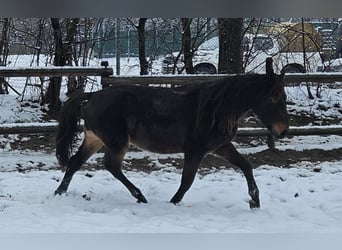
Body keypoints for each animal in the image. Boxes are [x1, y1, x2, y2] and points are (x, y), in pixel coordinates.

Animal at [54, 58, 288, 209]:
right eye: (276, 97)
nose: (283, 131)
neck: (215, 110)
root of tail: (93, 96)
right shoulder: (195, 150)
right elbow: (187, 181)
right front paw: (174, 202)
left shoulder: (221, 146)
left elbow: (246, 165)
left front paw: (255, 201)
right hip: (117, 141)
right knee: (111, 166)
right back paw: (140, 196)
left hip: (95, 139)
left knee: (75, 162)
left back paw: (59, 193)